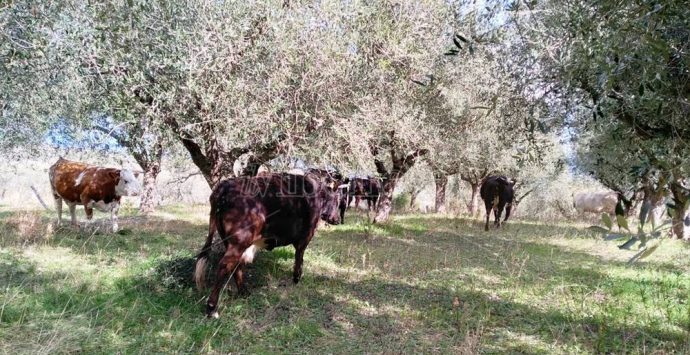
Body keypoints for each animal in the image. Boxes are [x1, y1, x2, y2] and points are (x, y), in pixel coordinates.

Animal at [191, 173, 342, 320]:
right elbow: (299, 258)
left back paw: (244, 292)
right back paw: (212, 308)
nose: (337, 220)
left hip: (230, 241)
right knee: (225, 265)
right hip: (239, 242)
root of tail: (225, 185)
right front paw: (296, 278)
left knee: (236, 265)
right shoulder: (305, 237)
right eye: (337, 201)